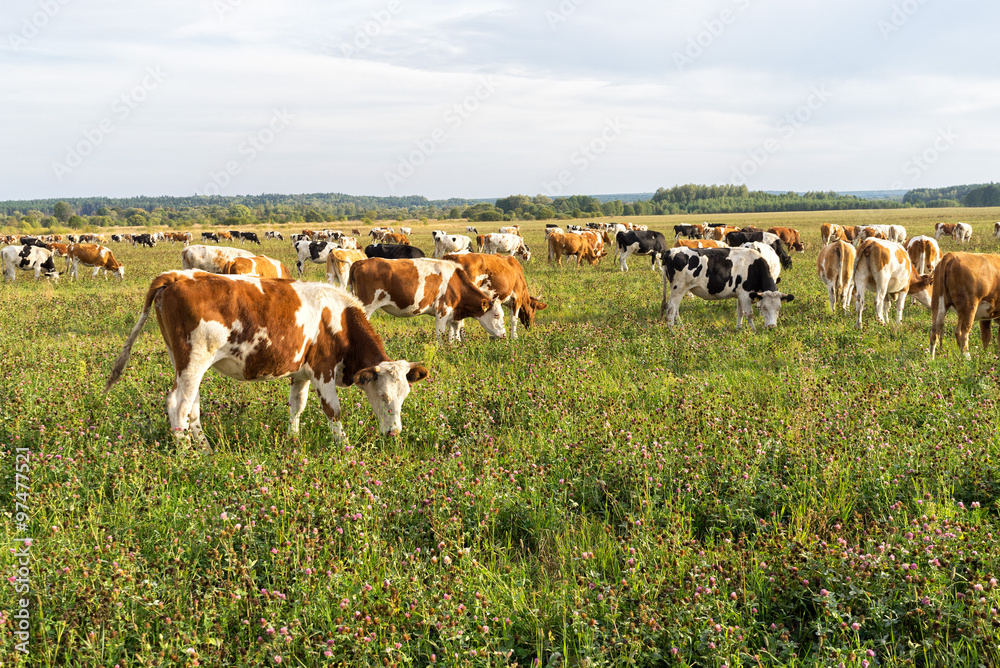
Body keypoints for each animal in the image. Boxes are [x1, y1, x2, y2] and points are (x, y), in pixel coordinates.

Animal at [107, 270, 432, 448]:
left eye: (404, 397)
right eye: (383, 395)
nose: (394, 433)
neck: (340, 318)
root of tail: (178, 276)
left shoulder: (301, 373)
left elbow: (297, 406)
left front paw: (294, 440)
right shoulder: (323, 371)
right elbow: (333, 411)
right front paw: (344, 447)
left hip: (185, 364)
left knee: (192, 408)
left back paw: (206, 450)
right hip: (194, 360)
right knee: (178, 406)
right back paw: (187, 456)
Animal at [352, 254, 508, 340]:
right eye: (496, 315)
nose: (504, 335)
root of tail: (362, 261)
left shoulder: (454, 314)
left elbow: (454, 334)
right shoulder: (442, 310)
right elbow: (441, 335)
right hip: (366, 307)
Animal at [660, 245, 792, 328]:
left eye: (779, 308)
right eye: (764, 307)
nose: (771, 326)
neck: (755, 266)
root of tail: (670, 251)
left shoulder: (740, 294)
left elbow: (740, 312)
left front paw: (739, 328)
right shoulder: (745, 294)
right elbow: (749, 313)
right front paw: (753, 330)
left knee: (675, 309)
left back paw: (681, 328)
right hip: (678, 289)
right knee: (671, 308)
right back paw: (672, 330)